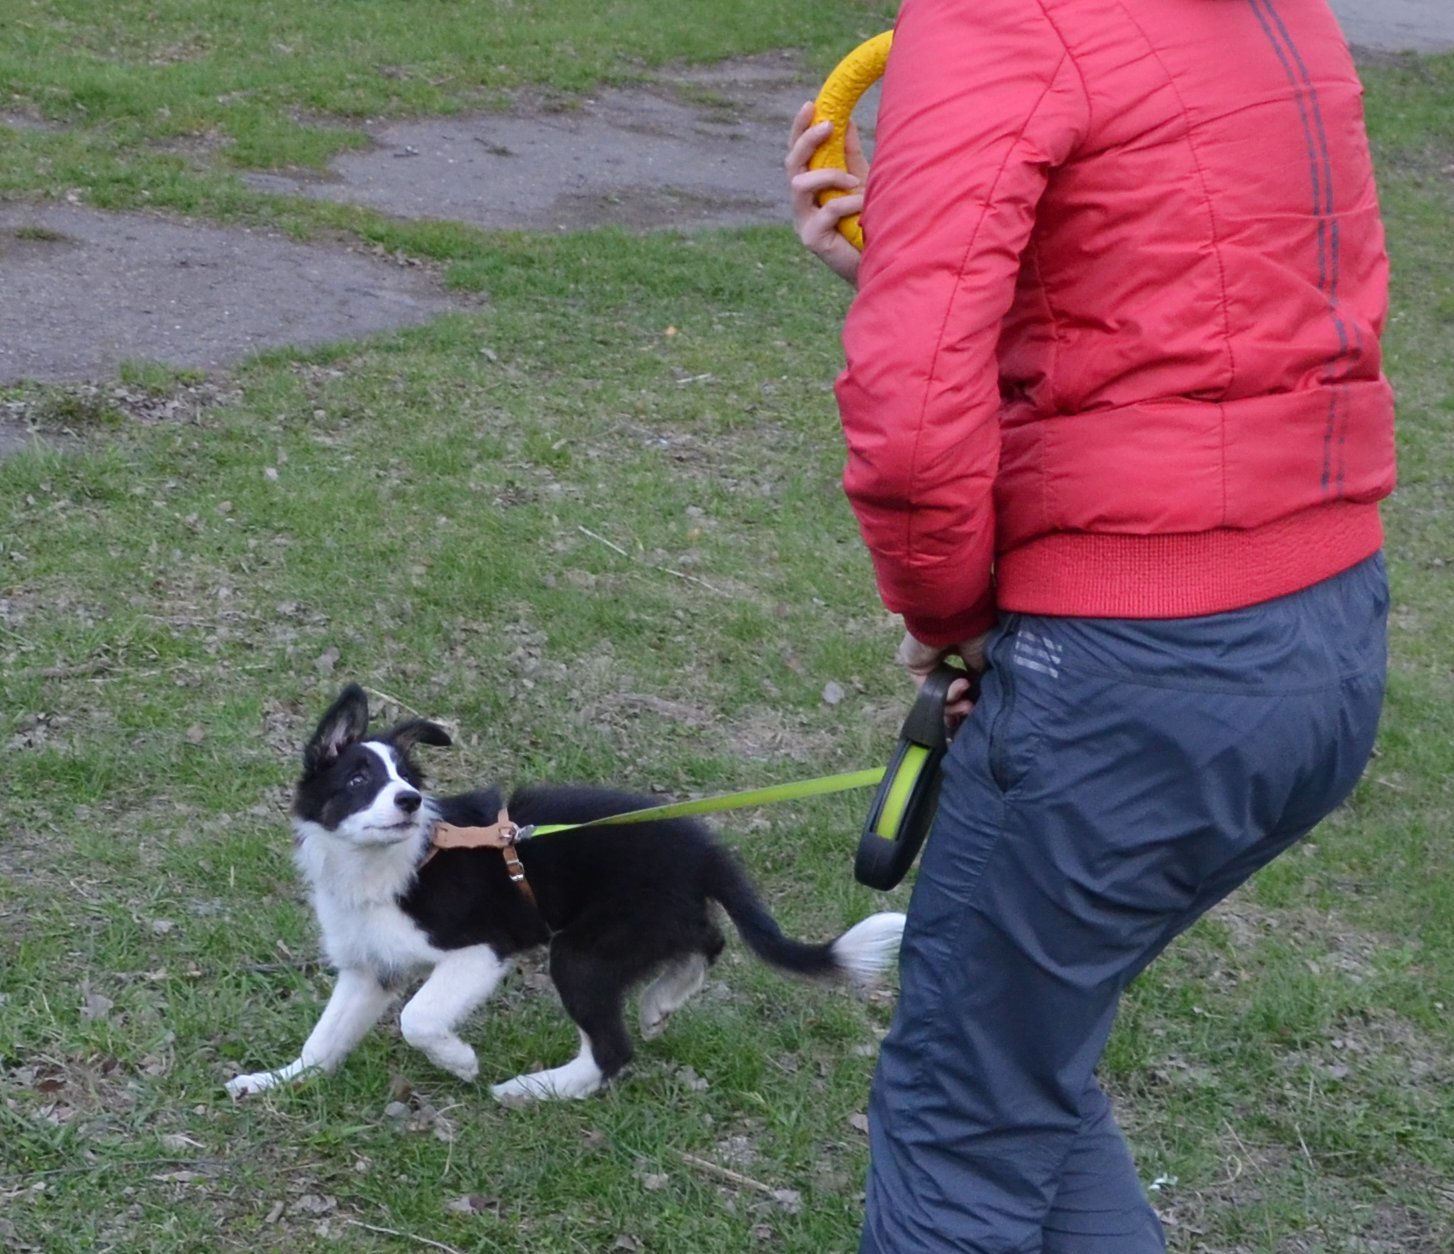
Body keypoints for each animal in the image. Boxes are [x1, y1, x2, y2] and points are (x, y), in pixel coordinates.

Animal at [223, 686, 907, 1111]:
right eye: (360, 778)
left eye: (408, 780)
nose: (411, 802)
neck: (382, 864)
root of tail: (704, 849)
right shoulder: (370, 969)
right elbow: (324, 1039)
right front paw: (276, 1081)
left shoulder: (480, 949)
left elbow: (419, 1018)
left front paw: (459, 1061)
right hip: (643, 926)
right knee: (705, 941)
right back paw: (661, 1000)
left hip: (583, 951)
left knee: (613, 1048)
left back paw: (536, 1089)